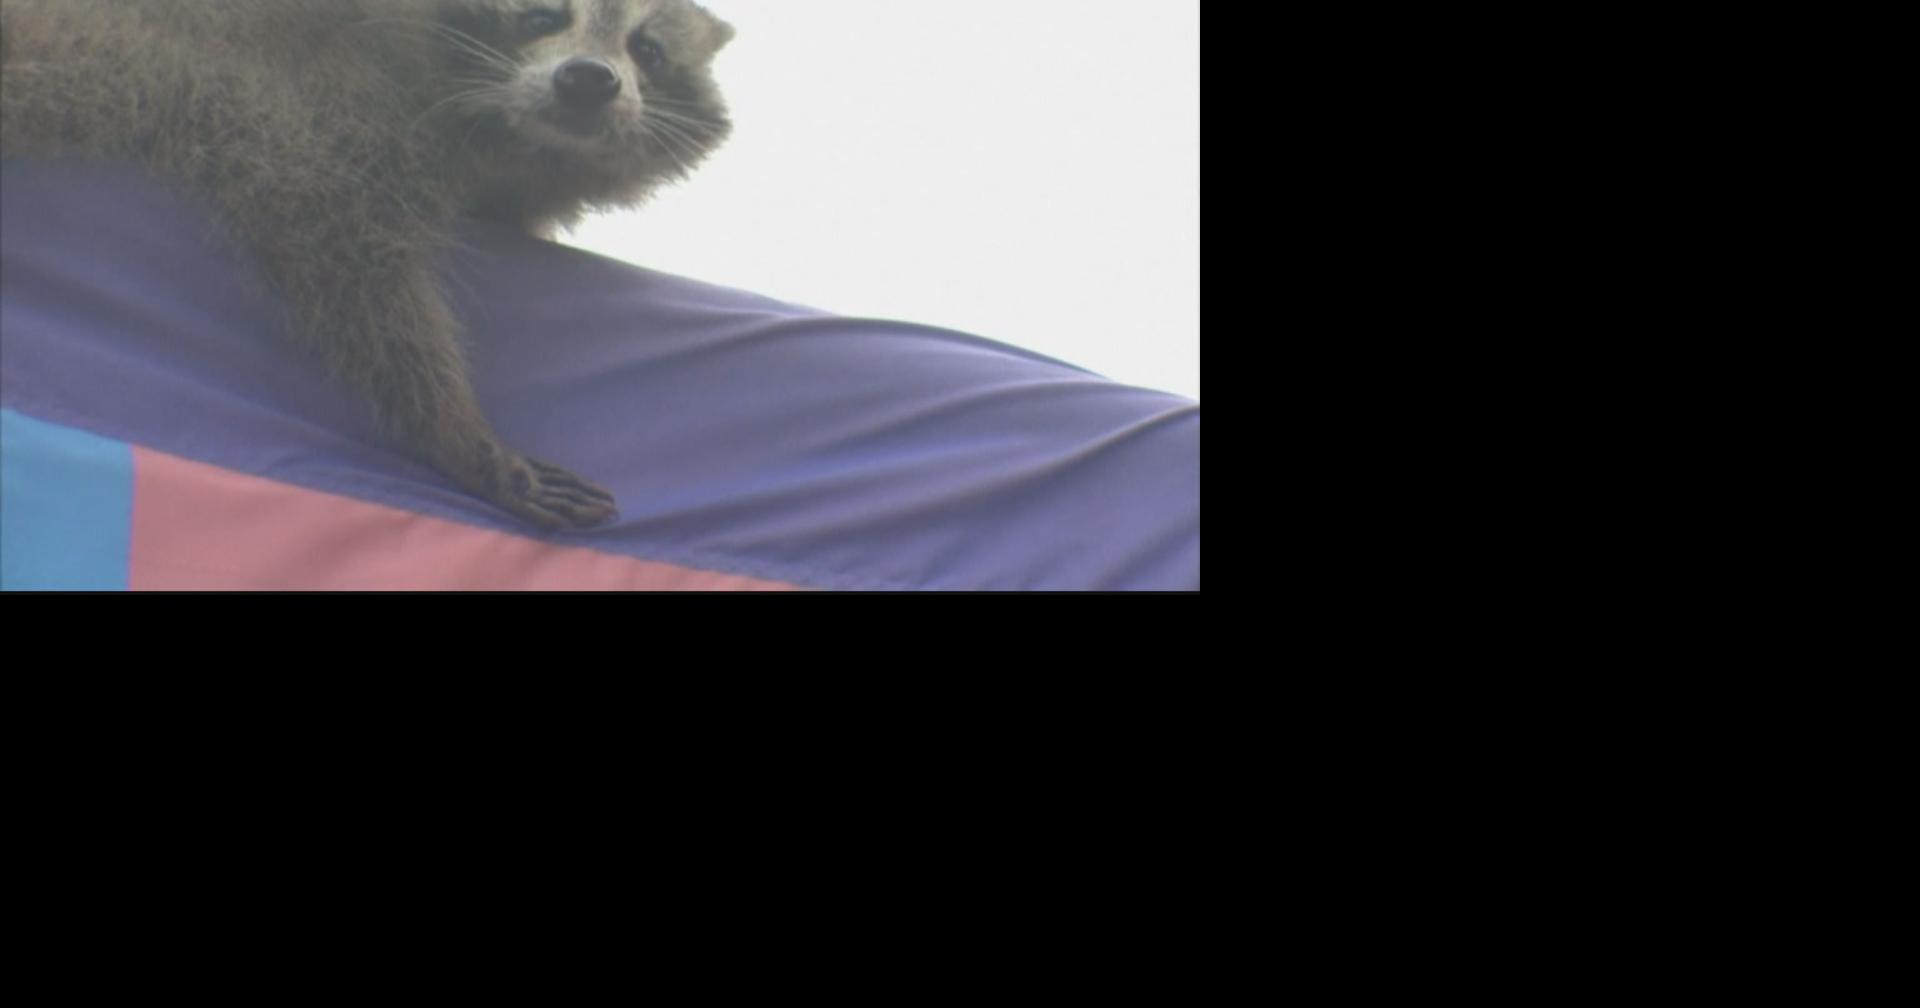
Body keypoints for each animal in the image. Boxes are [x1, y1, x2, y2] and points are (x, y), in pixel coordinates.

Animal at [0, 0, 734, 529]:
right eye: (543, 17)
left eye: (647, 48)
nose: (587, 78)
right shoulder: (330, 95)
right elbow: (338, 230)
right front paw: (455, 430)